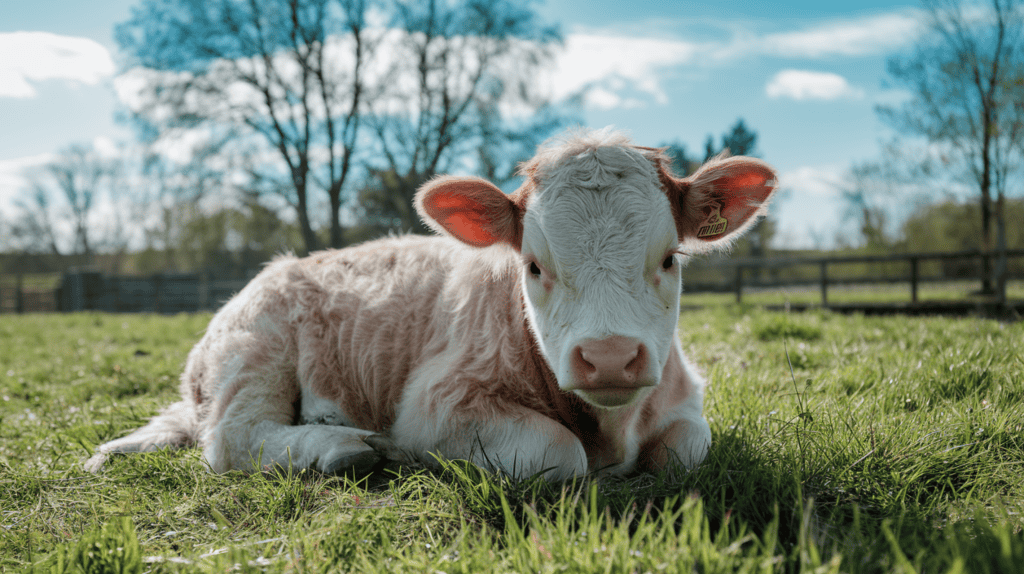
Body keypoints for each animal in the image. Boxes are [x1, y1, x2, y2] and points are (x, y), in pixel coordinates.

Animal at [85, 128, 777, 480]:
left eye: (669, 260)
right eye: (533, 265)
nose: (609, 357)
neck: (610, 430)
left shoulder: (683, 401)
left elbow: (686, 449)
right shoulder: (436, 404)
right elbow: (559, 453)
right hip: (255, 352)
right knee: (234, 439)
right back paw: (342, 446)